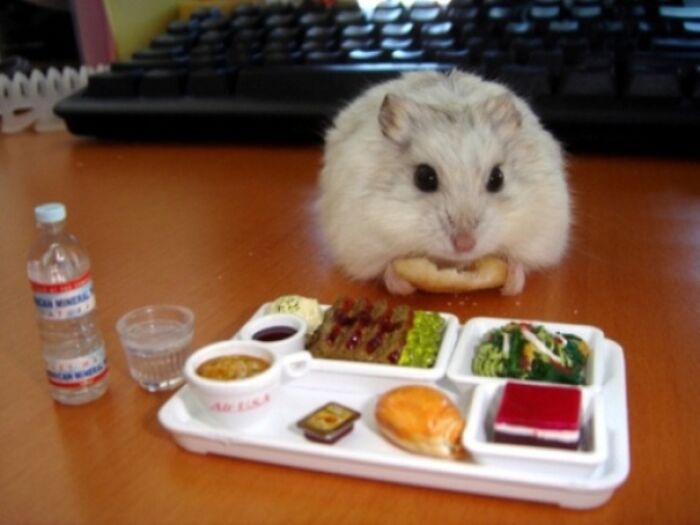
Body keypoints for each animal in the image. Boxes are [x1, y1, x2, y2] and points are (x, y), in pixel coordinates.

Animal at [318, 70, 570, 296]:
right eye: (424, 178)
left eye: (497, 178)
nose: (464, 245)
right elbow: (387, 268)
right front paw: (402, 282)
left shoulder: (540, 233)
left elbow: (520, 263)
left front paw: (511, 282)